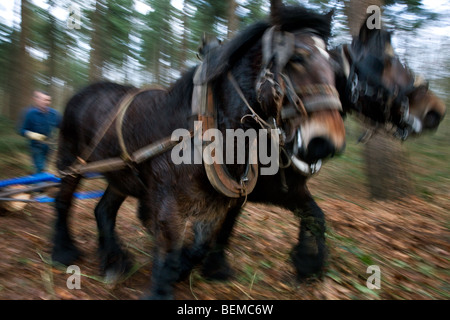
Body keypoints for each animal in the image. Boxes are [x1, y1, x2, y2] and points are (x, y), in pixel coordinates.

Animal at [51, 5, 344, 300]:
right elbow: (169, 250)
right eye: (297, 58)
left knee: (104, 210)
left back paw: (114, 260)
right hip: (71, 161)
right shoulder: (169, 204)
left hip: (122, 176)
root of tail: (84, 91)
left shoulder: (220, 204)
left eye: (335, 67)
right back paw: (64, 251)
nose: (327, 142)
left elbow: (203, 244)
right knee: (63, 201)